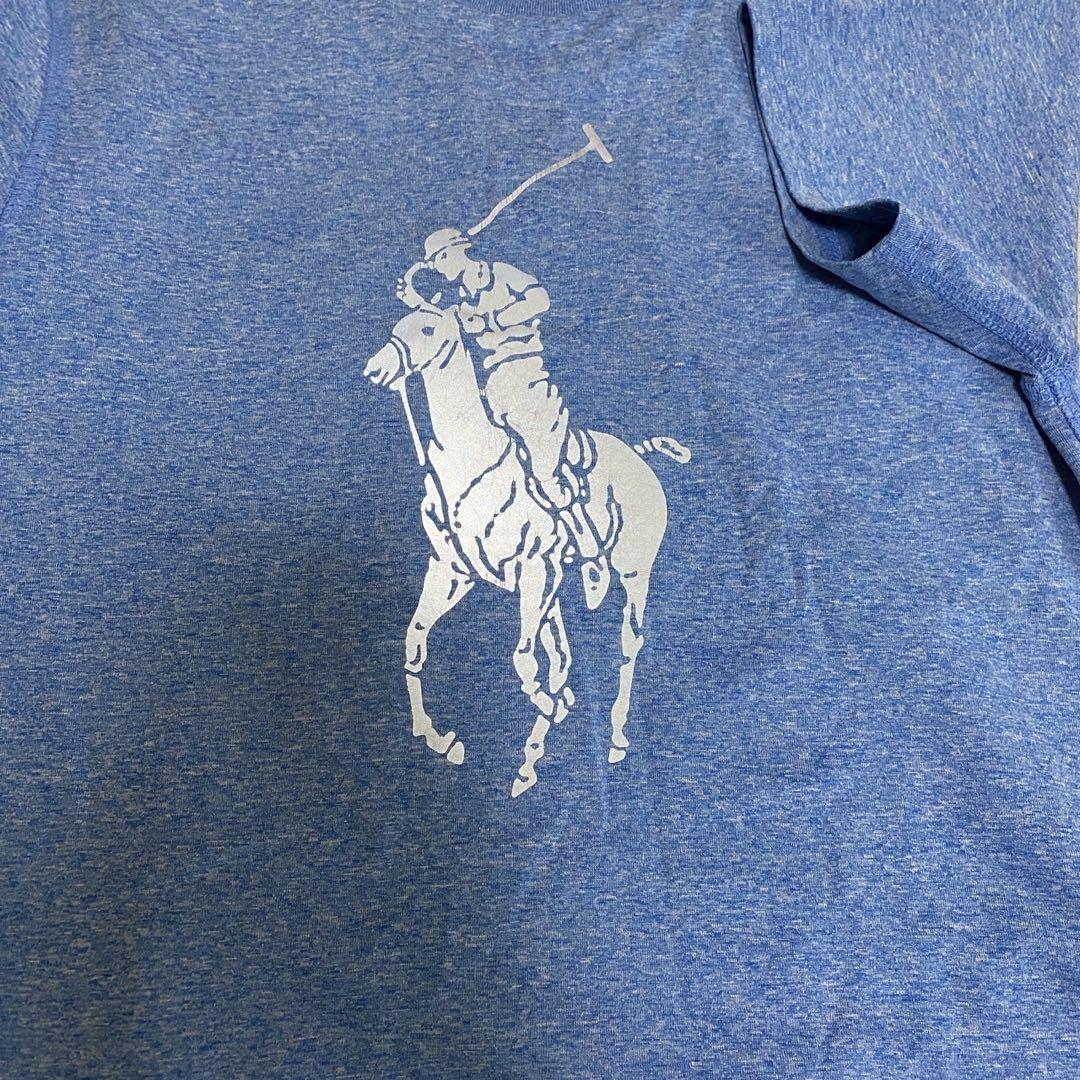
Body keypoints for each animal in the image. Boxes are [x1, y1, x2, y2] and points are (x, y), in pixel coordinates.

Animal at [363, 303, 690, 797]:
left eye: (427, 328)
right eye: (396, 326)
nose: (376, 369)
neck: (468, 460)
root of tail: (639, 456)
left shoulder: (536, 569)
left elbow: (525, 663)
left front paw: (550, 710)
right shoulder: (453, 571)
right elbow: (416, 642)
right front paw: (440, 740)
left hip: (633, 574)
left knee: (627, 643)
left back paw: (612, 738)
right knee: (562, 655)